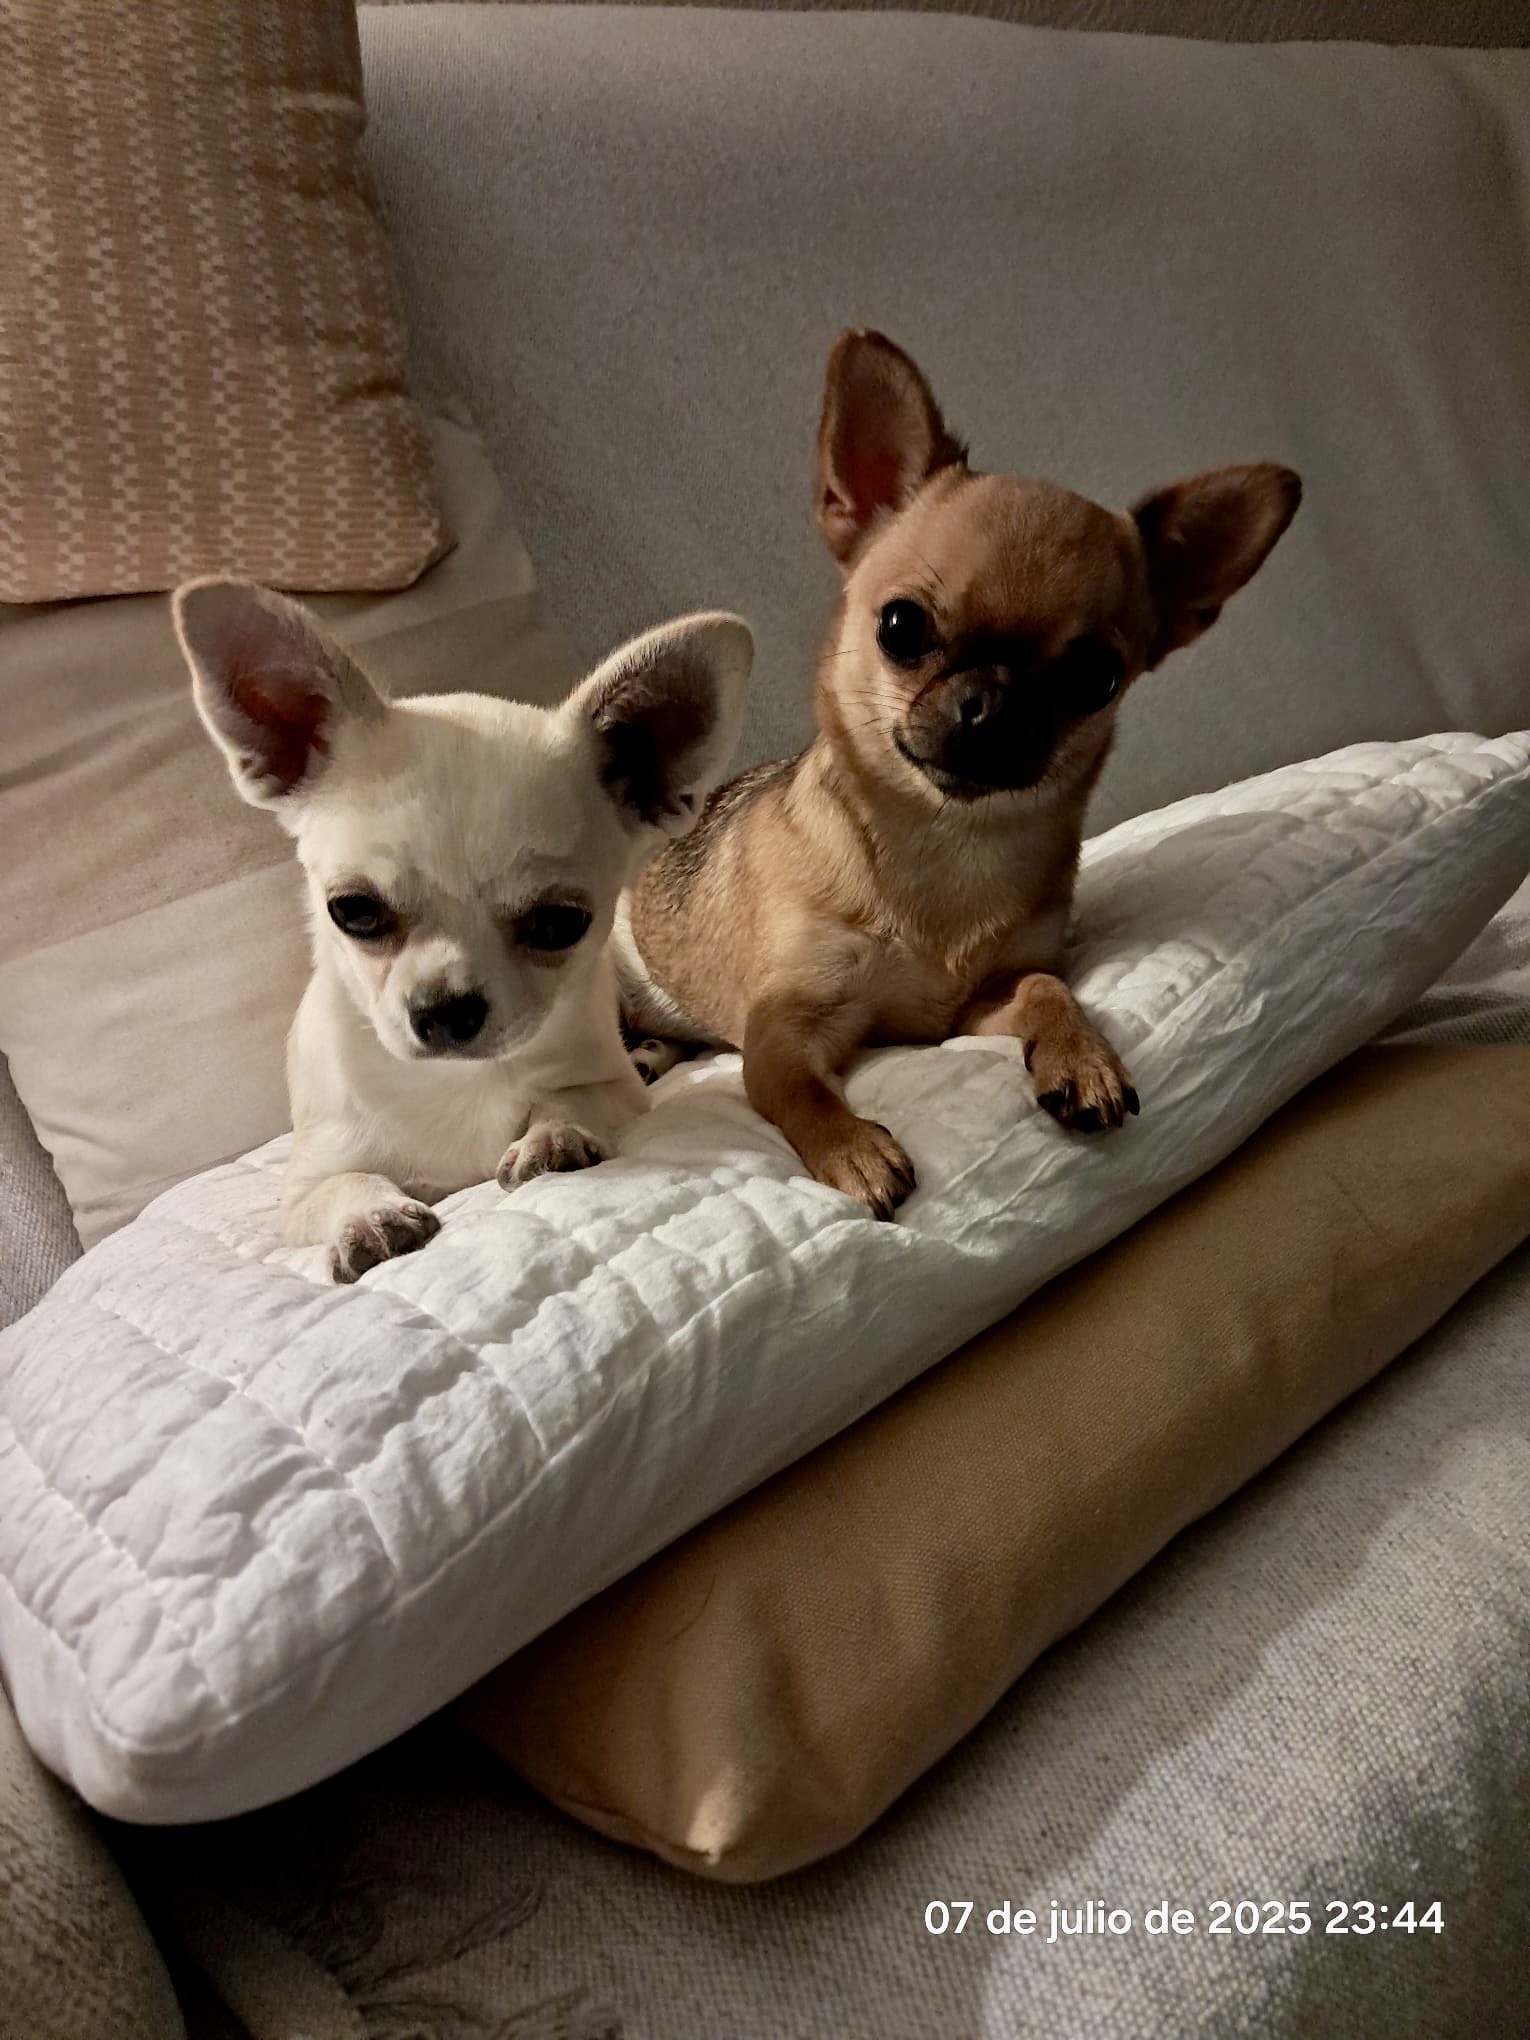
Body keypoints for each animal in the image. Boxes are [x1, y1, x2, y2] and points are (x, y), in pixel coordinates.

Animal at [174, 580, 752, 1279]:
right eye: (353, 911)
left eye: (561, 924)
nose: (447, 1009)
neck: (454, 1079)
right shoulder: (304, 1187)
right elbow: (345, 1183)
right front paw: (371, 1217)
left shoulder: (606, 1089)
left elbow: (570, 1098)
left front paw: (552, 1134)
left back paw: (647, 1056)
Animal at [616, 329, 1301, 1217]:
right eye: (901, 627)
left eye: (1097, 679)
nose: (993, 701)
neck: (947, 846)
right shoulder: (783, 1028)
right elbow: (802, 1091)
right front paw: (853, 1149)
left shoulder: (978, 1000)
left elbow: (1048, 989)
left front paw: (1081, 1057)